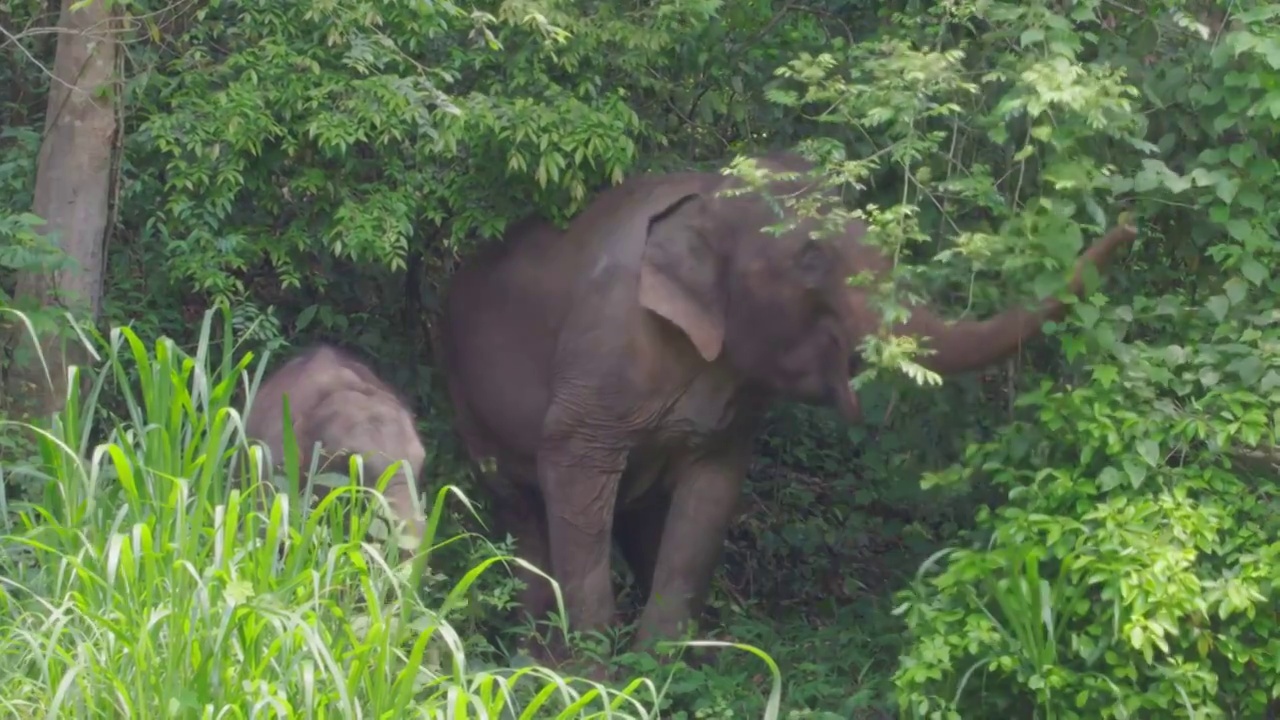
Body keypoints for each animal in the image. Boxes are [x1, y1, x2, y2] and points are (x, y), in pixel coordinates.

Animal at [437, 151, 1131, 661]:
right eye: (810, 257)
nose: (1127, 222)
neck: (709, 194)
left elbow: (707, 500)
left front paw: (662, 671)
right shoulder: (599, 360)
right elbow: (573, 474)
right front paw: (592, 679)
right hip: (469, 403)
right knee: (522, 508)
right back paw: (531, 658)